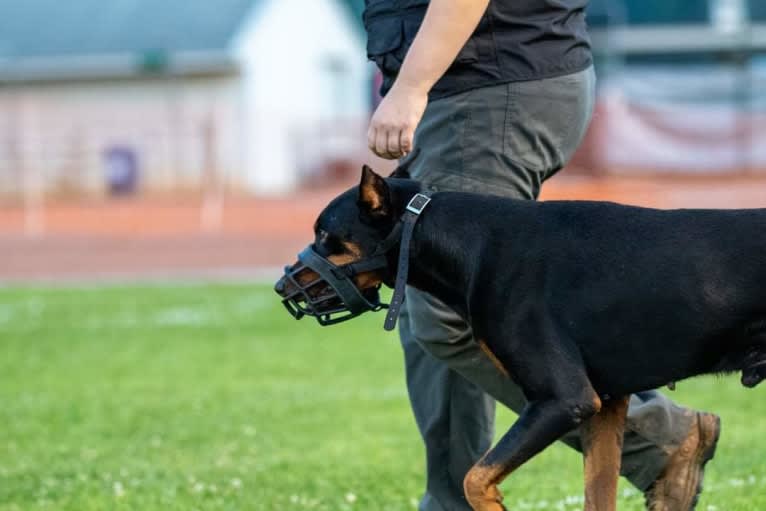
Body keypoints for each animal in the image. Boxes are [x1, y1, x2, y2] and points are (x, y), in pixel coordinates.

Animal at [272, 165, 764, 511]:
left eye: (325, 235)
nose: (279, 287)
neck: (462, 242)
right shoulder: (607, 403)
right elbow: (596, 494)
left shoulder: (566, 399)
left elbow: (474, 477)